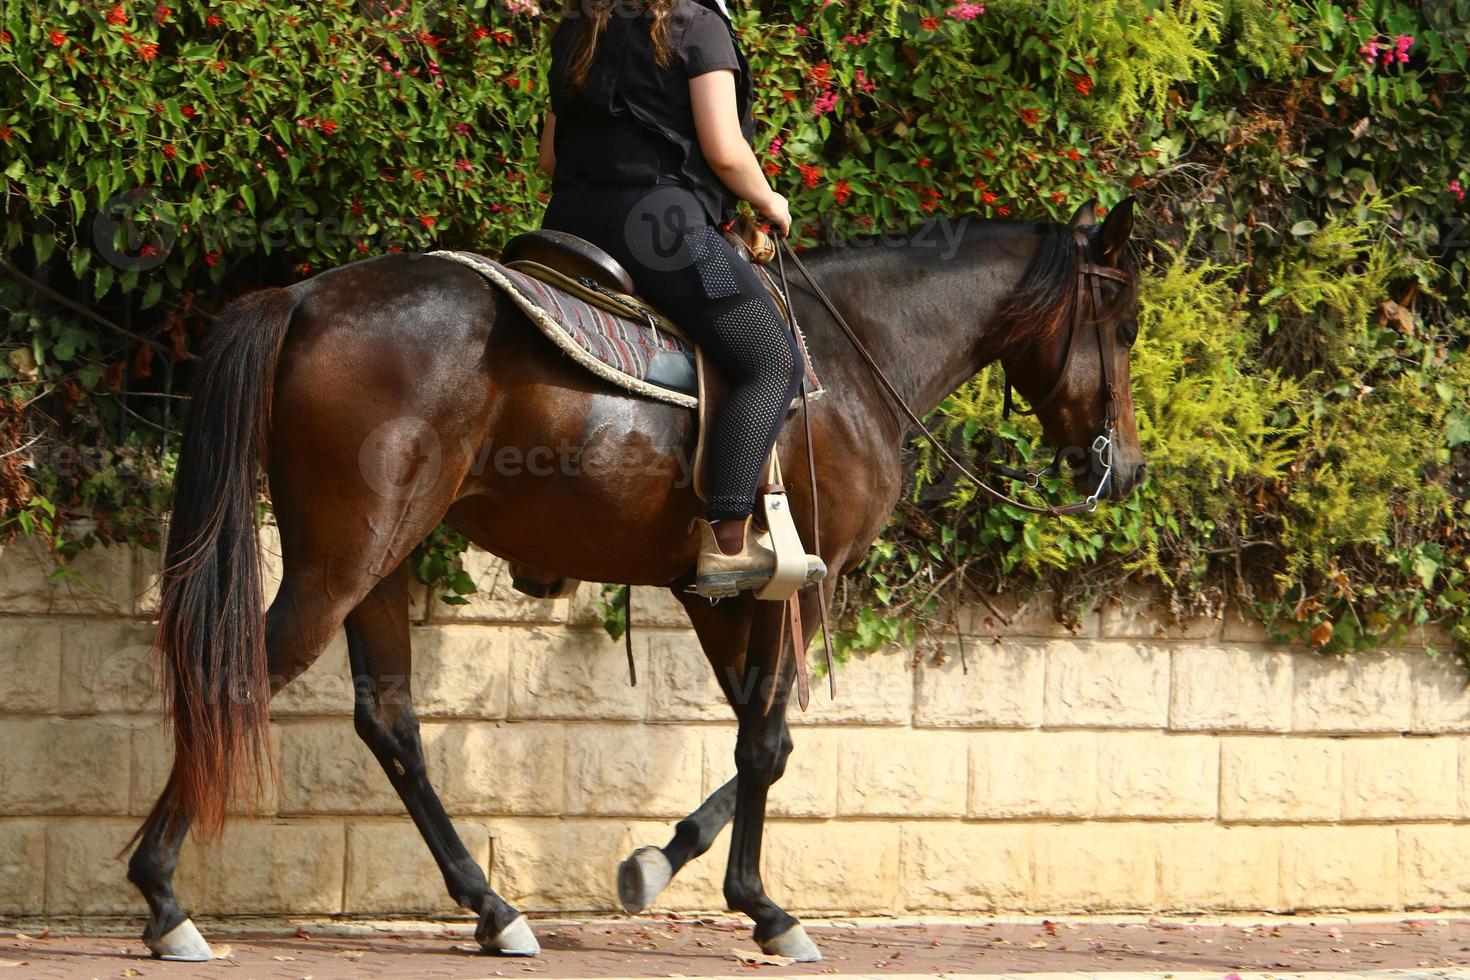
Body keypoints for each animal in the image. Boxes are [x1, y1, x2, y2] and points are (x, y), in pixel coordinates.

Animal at [126, 195, 1140, 963]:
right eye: (1123, 327)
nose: (1123, 469)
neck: (855, 356)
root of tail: (301, 297)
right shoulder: (800, 587)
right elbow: (767, 743)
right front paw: (764, 910)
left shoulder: (715, 593)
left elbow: (756, 738)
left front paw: (665, 863)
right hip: (343, 560)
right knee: (241, 679)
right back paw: (166, 901)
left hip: (379, 560)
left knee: (389, 720)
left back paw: (493, 909)